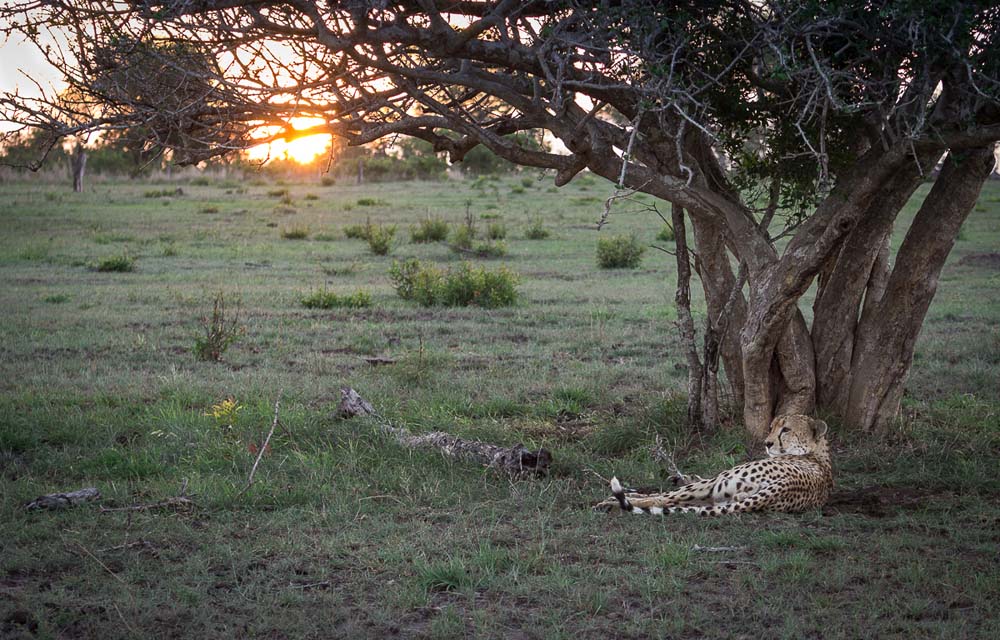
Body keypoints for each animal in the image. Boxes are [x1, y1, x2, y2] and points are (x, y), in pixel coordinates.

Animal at [600, 414, 833, 516]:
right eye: (772, 427)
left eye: (786, 429)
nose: (767, 443)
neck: (815, 453)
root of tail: (783, 487)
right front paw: (678, 476)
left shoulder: (715, 481)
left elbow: (662, 494)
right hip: (720, 497)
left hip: (717, 485)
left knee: (660, 499)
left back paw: (610, 501)